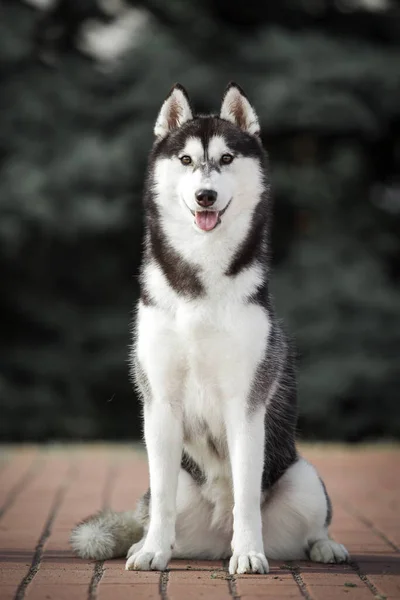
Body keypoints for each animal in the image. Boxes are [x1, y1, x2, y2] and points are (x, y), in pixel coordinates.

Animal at [70, 82, 348, 576]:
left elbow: (246, 494)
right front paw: (152, 552)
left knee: (311, 527)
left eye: (226, 159)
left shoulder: (246, 403)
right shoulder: (160, 403)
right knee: (153, 508)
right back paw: (148, 543)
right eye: (185, 160)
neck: (201, 279)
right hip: (181, 488)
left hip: (304, 477)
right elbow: (162, 495)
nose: (205, 196)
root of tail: (216, 541)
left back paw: (321, 548)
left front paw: (250, 553)